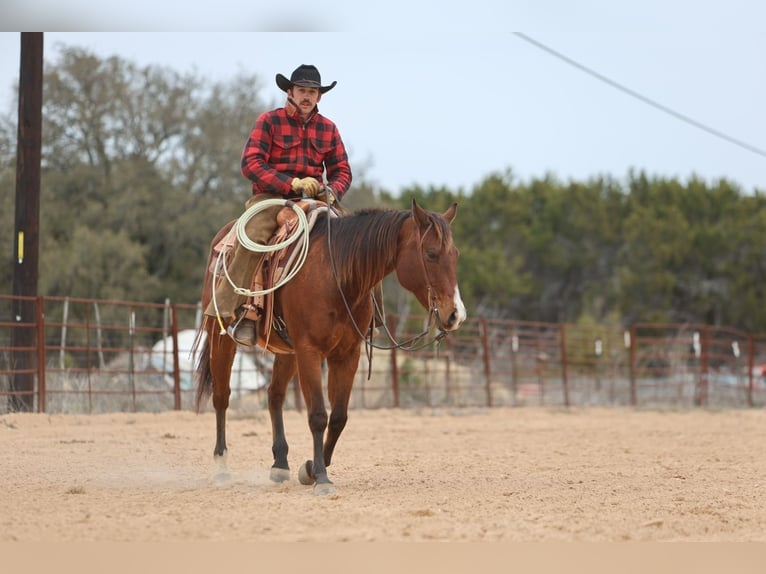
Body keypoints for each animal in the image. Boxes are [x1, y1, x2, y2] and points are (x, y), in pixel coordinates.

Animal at [192, 200, 468, 498]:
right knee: (221, 397)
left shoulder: (347, 355)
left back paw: (280, 464)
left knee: (274, 395)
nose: (456, 315)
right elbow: (317, 415)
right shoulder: (310, 352)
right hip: (220, 336)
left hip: (288, 353)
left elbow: (338, 417)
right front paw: (322, 478)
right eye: (431, 254)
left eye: (455, 255)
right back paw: (221, 467)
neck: (339, 279)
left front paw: (311, 469)